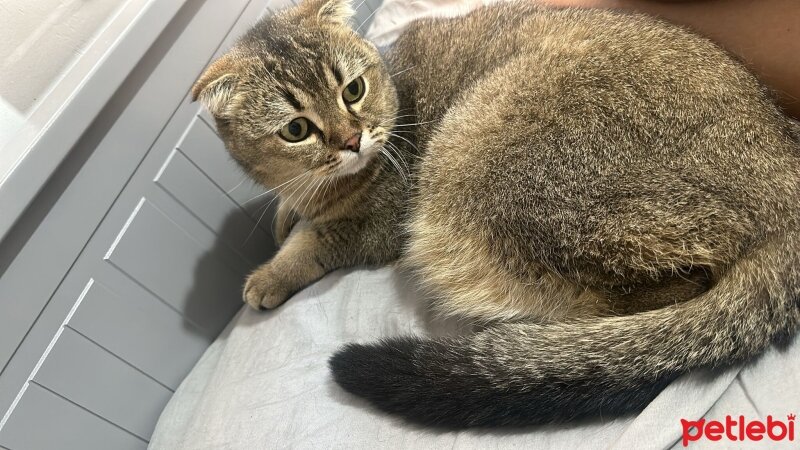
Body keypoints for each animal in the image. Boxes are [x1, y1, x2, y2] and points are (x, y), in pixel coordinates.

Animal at [192, 0, 800, 428]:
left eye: (353, 90)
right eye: (296, 129)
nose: (351, 139)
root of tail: (784, 179)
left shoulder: (379, 224)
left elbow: (314, 242)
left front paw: (270, 275)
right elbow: (288, 213)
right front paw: (282, 216)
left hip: (479, 171)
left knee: (669, 290)